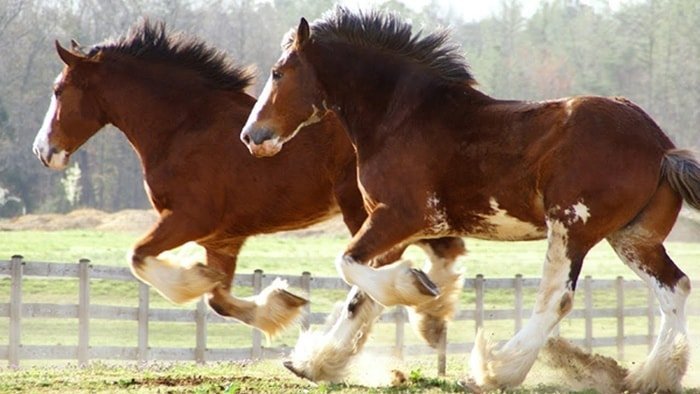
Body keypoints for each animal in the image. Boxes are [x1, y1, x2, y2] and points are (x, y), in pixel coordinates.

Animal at [28, 19, 464, 376]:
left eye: (58, 90)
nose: (43, 151)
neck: (184, 126)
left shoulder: (189, 218)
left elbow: (139, 257)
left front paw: (192, 278)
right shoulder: (222, 238)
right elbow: (219, 298)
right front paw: (281, 304)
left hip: (368, 209)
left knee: (383, 269)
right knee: (442, 251)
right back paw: (430, 319)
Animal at [241, 7, 700, 392]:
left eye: (278, 72)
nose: (252, 136)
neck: (400, 118)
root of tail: (661, 145)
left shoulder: (399, 217)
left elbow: (350, 266)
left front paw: (419, 290)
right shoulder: (392, 227)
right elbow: (360, 294)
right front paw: (314, 362)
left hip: (572, 228)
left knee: (557, 297)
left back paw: (496, 369)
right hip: (632, 238)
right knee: (675, 286)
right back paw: (652, 376)